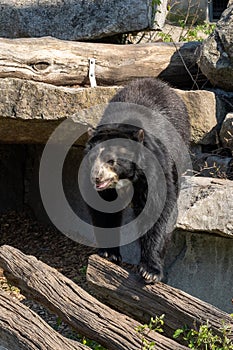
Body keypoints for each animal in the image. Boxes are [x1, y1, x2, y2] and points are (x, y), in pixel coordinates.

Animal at [83, 78, 189, 284]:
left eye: (111, 160)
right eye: (92, 158)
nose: (96, 177)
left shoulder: (156, 168)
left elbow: (159, 208)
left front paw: (150, 270)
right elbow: (103, 209)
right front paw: (109, 253)